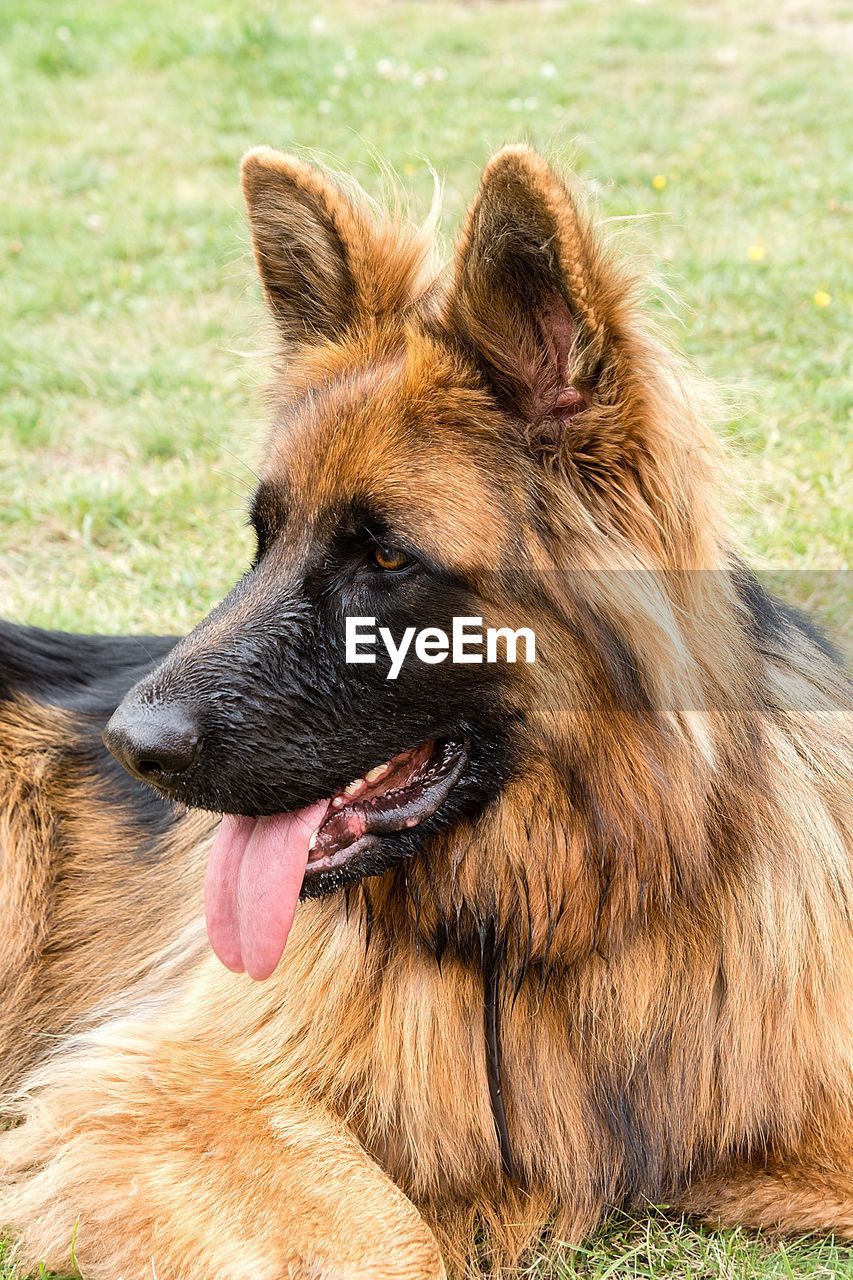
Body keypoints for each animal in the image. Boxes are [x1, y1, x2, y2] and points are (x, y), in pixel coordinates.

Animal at [1, 147, 850, 1280]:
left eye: (385, 556)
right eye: (263, 537)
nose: (130, 748)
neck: (560, 916)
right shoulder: (158, 1090)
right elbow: (388, 1240)